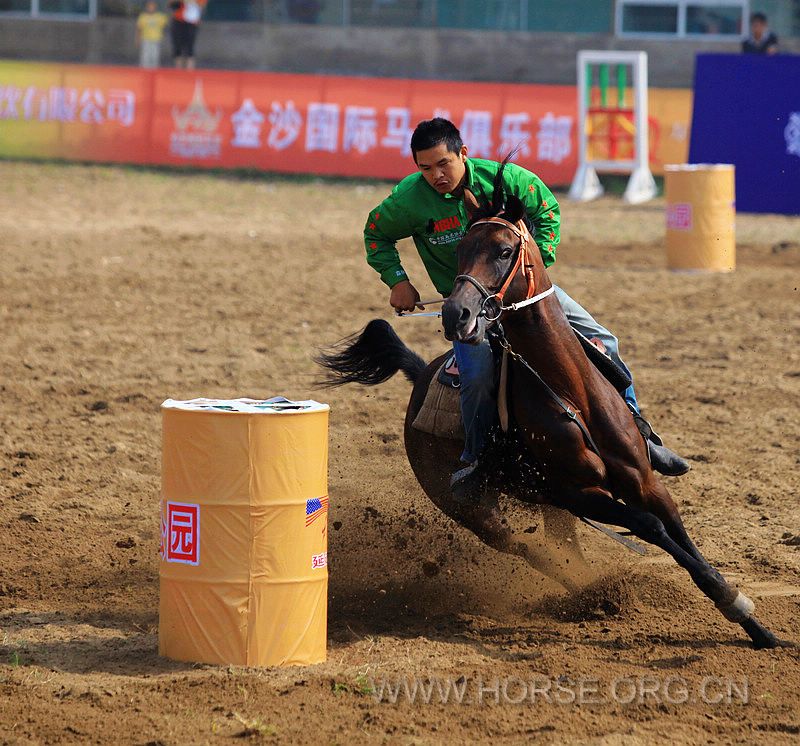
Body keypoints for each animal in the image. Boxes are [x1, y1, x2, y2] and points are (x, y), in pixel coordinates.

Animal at [316, 171, 780, 644]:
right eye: (460, 250)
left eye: (504, 251)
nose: (455, 314)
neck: (572, 392)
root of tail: (419, 376)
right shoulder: (576, 492)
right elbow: (650, 526)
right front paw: (736, 605)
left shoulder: (644, 481)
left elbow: (678, 534)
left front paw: (754, 625)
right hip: (474, 510)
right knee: (527, 547)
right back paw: (588, 593)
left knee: (562, 546)